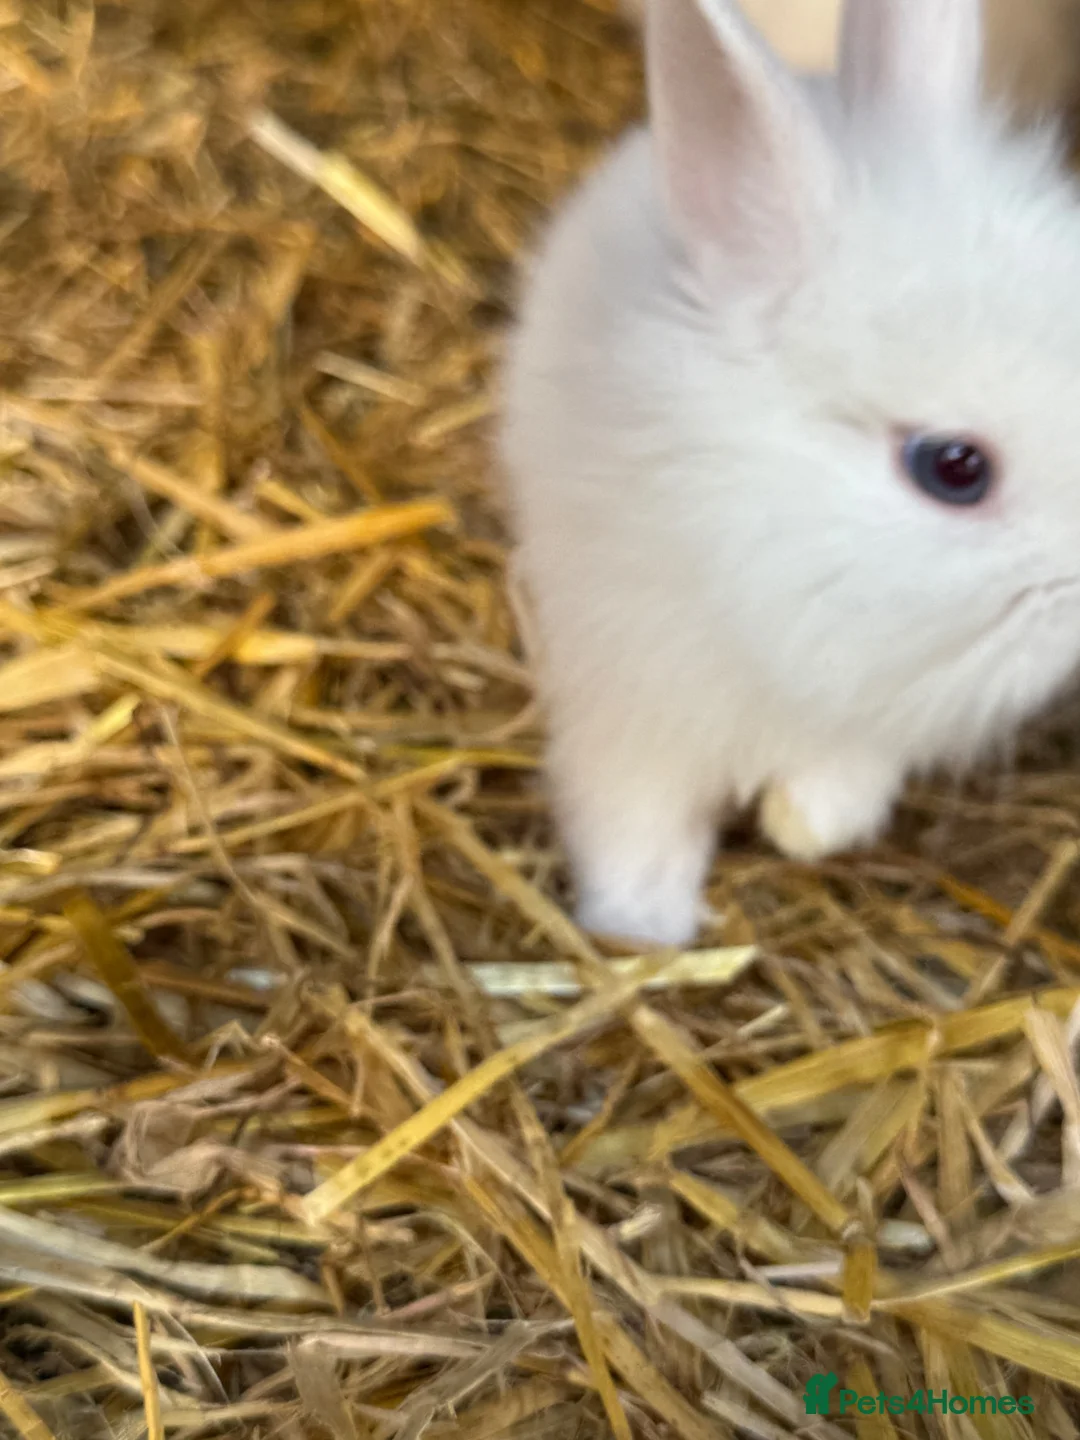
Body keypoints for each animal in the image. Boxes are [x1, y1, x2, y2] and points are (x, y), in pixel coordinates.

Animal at [498, 0, 1080, 950]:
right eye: (954, 468)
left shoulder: (871, 719)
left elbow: (843, 782)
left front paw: (799, 826)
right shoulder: (627, 709)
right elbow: (632, 823)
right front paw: (641, 927)